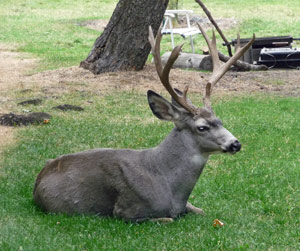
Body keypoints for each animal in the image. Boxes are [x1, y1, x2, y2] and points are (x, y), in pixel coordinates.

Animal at [32, 25, 254, 222]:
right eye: (202, 127)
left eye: (220, 120)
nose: (235, 144)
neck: (167, 183)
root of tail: (38, 179)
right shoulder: (127, 211)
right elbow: (168, 219)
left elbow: (202, 211)